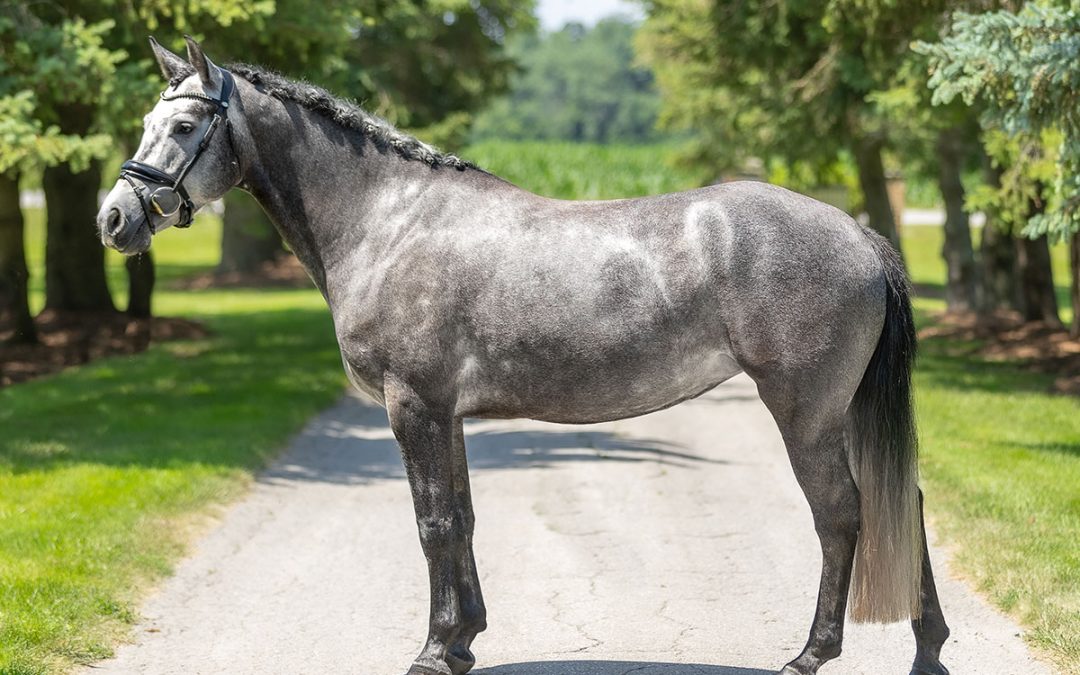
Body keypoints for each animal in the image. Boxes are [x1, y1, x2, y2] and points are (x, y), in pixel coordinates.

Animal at [97, 38, 950, 673]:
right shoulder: (445, 413)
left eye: (183, 127)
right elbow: (463, 518)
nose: (115, 218)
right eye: (145, 120)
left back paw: (812, 652)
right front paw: (464, 639)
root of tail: (859, 235)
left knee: (841, 513)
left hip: (806, 412)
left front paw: (433, 649)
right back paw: (928, 648)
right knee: (904, 501)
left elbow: (434, 523)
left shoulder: (413, 405)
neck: (388, 220)